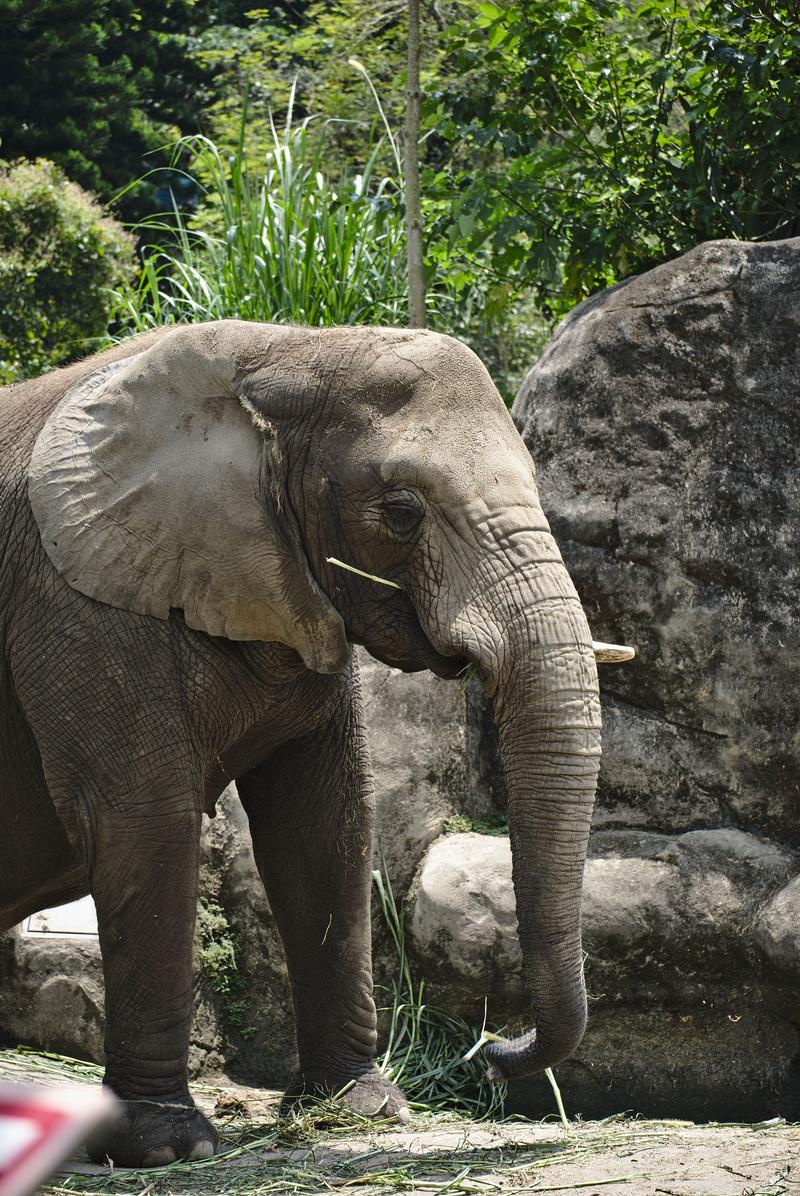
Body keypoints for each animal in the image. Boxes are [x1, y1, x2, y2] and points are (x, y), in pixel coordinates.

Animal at [0, 322, 612, 1162]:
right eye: (402, 511)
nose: (489, 1054)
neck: (278, 353)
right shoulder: (76, 600)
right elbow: (143, 822)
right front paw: (166, 1146)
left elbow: (323, 824)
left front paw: (360, 1109)